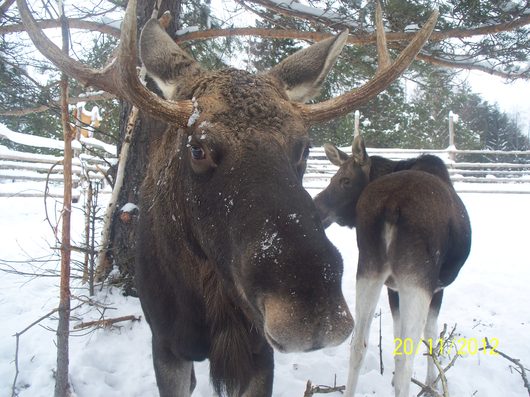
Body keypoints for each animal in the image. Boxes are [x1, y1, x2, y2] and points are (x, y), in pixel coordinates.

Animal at [312, 136, 468, 396]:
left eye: (344, 180)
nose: (315, 209)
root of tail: (392, 205)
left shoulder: (391, 287)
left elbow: (396, 337)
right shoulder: (437, 287)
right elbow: (431, 335)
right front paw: (431, 383)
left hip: (368, 269)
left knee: (358, 344)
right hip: (417, 280)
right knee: (407, 359)